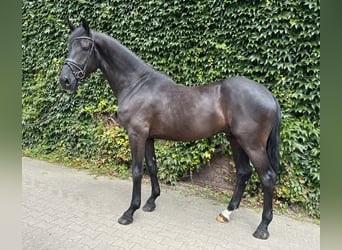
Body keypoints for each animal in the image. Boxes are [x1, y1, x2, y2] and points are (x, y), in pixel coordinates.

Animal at [59, 18, 280, 239]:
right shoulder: (148, 137)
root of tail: (269, 95)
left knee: (267, 177)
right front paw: (151, 202)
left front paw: (129, 212)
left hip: (252, 144)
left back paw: (262, 227)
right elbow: (153, 167)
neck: (136, 85)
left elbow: (137, 171)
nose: (65, 80)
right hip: (235, 139)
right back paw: (226, 213)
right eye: (69, 45)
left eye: (85, 47)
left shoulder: (136, 135)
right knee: (243, 173)